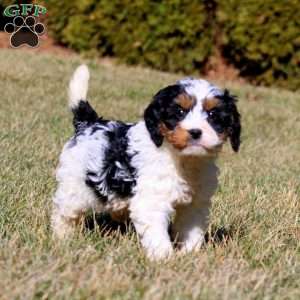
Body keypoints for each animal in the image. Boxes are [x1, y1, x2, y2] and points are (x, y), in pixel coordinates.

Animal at [51, 65, 241, 260]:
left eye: (213, 115)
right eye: (179, 112)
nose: (195, 132)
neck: (182, 159)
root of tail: (89, 123)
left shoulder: (195, 204)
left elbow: (191, 229)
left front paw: (190, 254)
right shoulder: (152, 202)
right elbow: (157, 233)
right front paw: (164, 257)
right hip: (74, 185)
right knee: (63, 212)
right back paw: (62, 237)